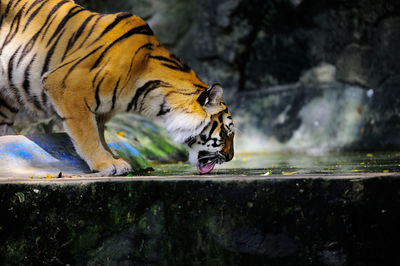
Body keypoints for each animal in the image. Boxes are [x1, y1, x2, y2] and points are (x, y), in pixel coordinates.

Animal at [0, 0, 234, 176]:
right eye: (226, 132)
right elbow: (87, 134)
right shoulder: (67, 86)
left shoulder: (101, 109)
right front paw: (106, 164)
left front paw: (114, 158)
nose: (230, 157)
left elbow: (99, 134)